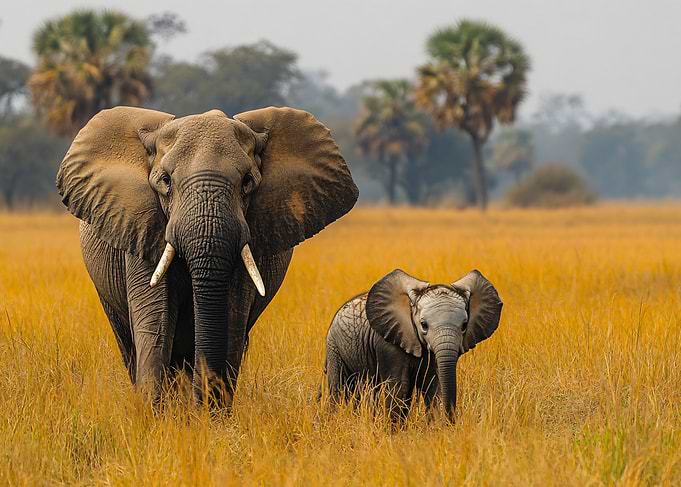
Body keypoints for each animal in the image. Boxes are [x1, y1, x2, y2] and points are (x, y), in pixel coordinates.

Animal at [57, 105, 358, 407]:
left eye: (247, 181)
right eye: (165, 181)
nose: (202, 403)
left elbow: (231, 319)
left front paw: (210, 413)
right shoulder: (142, 224)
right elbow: (154, 321)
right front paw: (155, 412)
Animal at [324, 269, 502, 420]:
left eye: (464, 325)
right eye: (424, 325)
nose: (451, 421)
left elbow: (433, 384)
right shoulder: (388, 344)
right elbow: (398, 387)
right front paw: (394, 433)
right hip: (334, 347)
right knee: (339, 388)